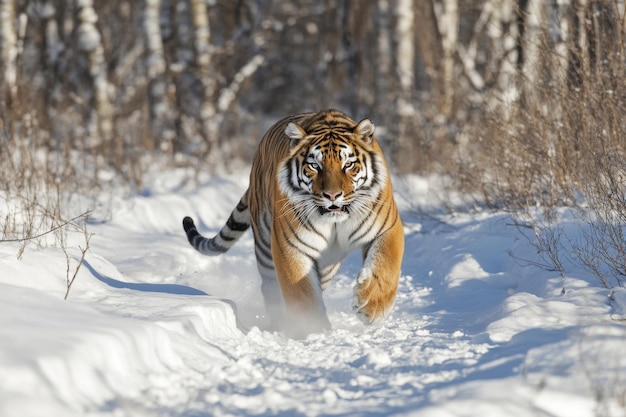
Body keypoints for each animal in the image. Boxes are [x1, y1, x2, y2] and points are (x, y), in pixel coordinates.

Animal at [183, 108, 402, 338]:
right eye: (315, 166)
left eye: (348, 164)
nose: (332, 195)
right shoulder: (291, 245)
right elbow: (302, 294)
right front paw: (312, 329)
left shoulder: (388, 227)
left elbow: (385, 265)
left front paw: (371, 307)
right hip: (265, 247)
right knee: (270, 287)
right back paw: (279, 323)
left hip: (327, 263)